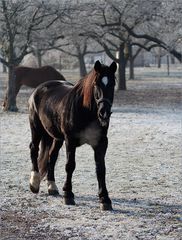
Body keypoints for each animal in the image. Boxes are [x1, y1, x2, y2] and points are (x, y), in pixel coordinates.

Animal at [28, 60, 116, 210]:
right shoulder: (70, 141)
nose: (104, 113)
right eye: (96, 84)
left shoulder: (101, 143)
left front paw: (105, 199)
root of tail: (39, 89)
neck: (86, 112)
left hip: (57, 137)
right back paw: (34, 183)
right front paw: (68, 195)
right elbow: (70, 166)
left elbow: (100, 169)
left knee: (52, 156)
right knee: (34, 149)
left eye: (113, 84)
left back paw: (52, 186)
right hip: (36, 129)